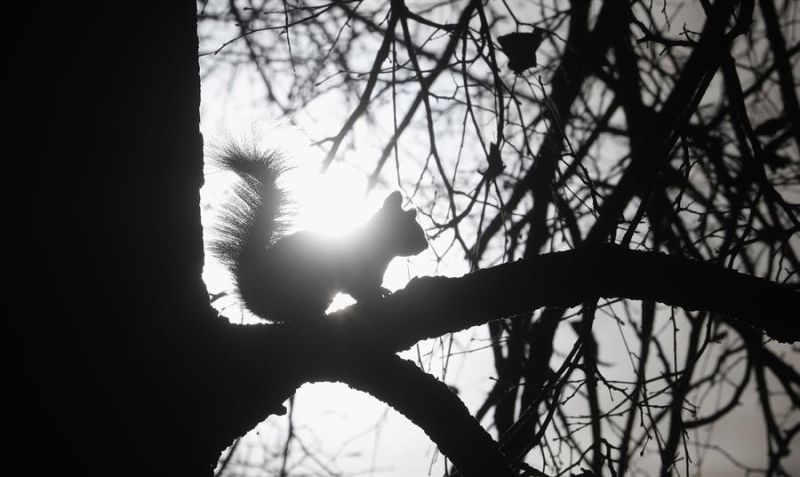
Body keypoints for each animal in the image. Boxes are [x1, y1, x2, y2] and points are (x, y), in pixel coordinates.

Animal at [209, 143, 428, 324]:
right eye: (410, 229)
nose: (425, 246)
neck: (379, 247)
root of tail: (251, 292)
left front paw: (381, 290)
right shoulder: (355, 272)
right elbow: (358, 290)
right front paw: (375, 295)